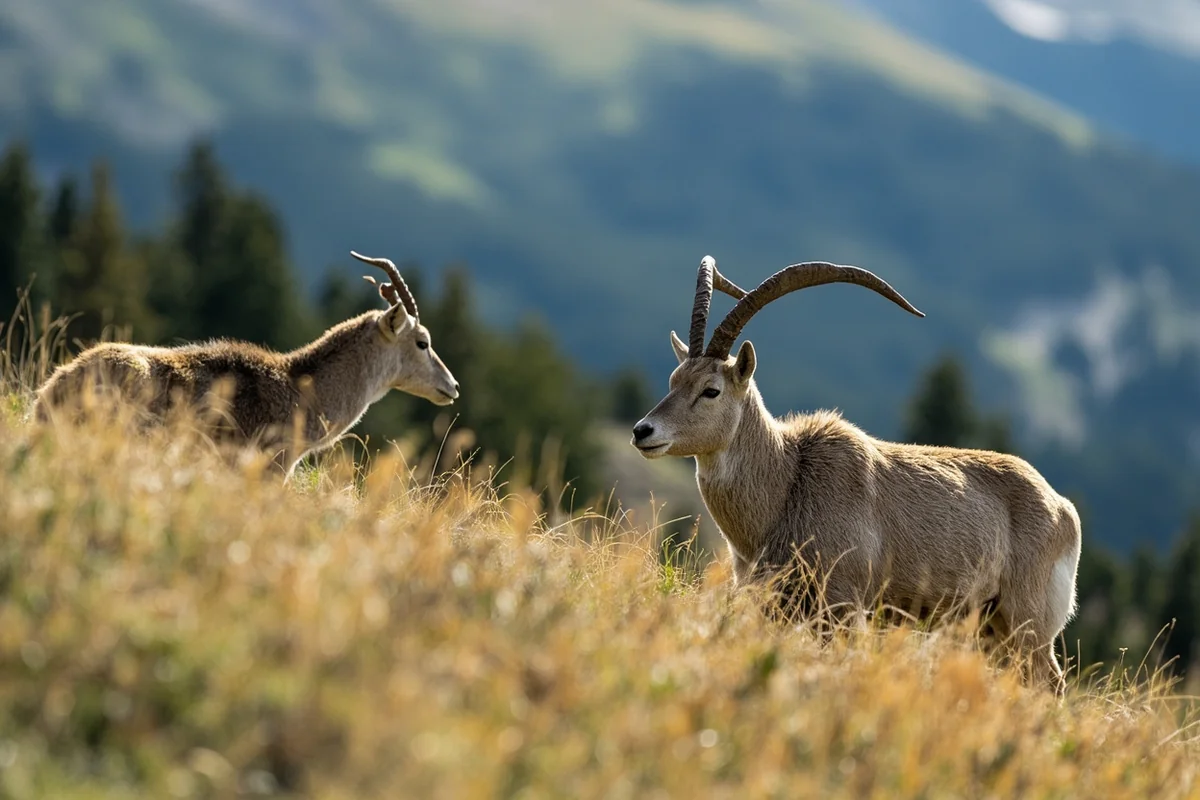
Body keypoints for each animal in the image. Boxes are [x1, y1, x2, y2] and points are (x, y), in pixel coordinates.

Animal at [631, 256, 1082, 693]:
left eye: (712, 390)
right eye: (674, 380)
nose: (643, 431)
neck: (789, 481)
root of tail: (1063, 510)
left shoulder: (843, 604)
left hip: (1028, 622)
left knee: (1050, 682)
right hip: (991, 626)